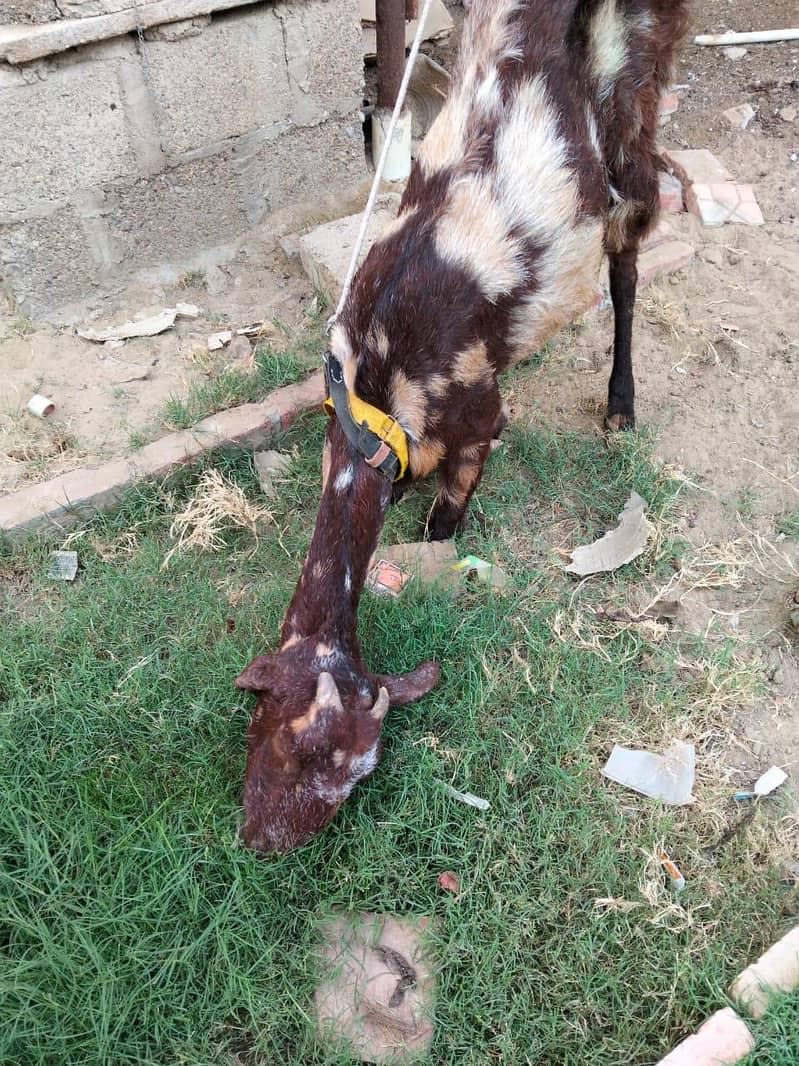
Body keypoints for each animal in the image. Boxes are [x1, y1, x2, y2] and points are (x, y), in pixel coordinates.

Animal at [236, 0, 689, 852]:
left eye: (355, 763)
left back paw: (620, 404)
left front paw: (436, 543)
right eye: (282, 730)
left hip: (635, 87)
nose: (264, 841)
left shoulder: (476, 407)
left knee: (627, 248)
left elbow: (452, 506)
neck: (378, 391)